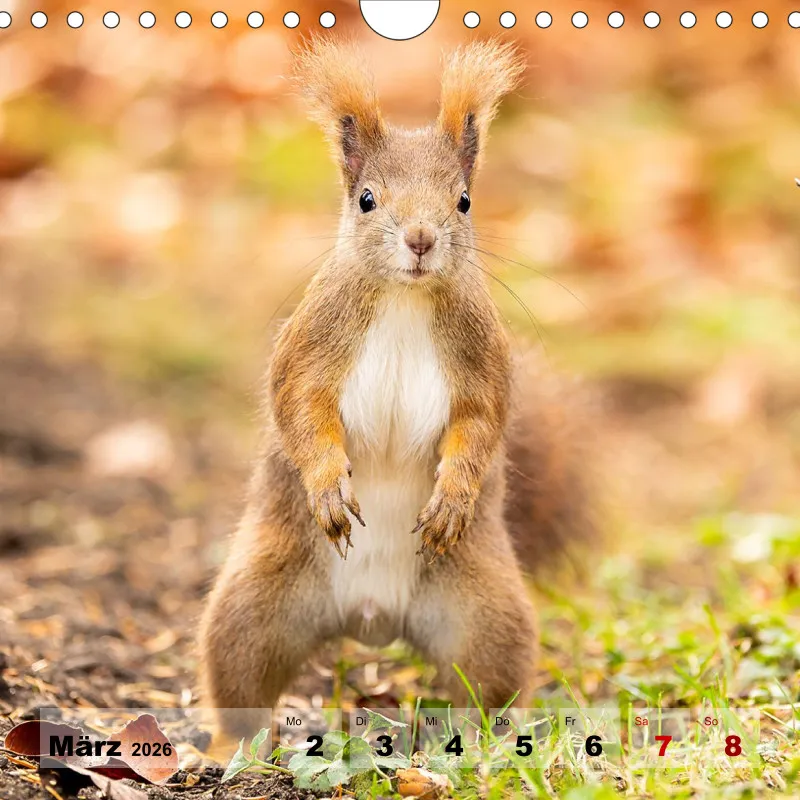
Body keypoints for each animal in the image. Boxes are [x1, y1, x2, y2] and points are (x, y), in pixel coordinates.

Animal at [198, 37, 595, 739]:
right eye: (366, 199)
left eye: (463, 201)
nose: (420, 239)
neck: (404, 298)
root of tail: (372, 618)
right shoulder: (311, 348)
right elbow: (301, 410)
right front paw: (329, 487)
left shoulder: (480, 363)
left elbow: (480, 425)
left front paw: (452, 498)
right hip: (251, 609)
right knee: (241, 683)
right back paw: (227, 748)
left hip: (486, 617)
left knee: (486, 686)